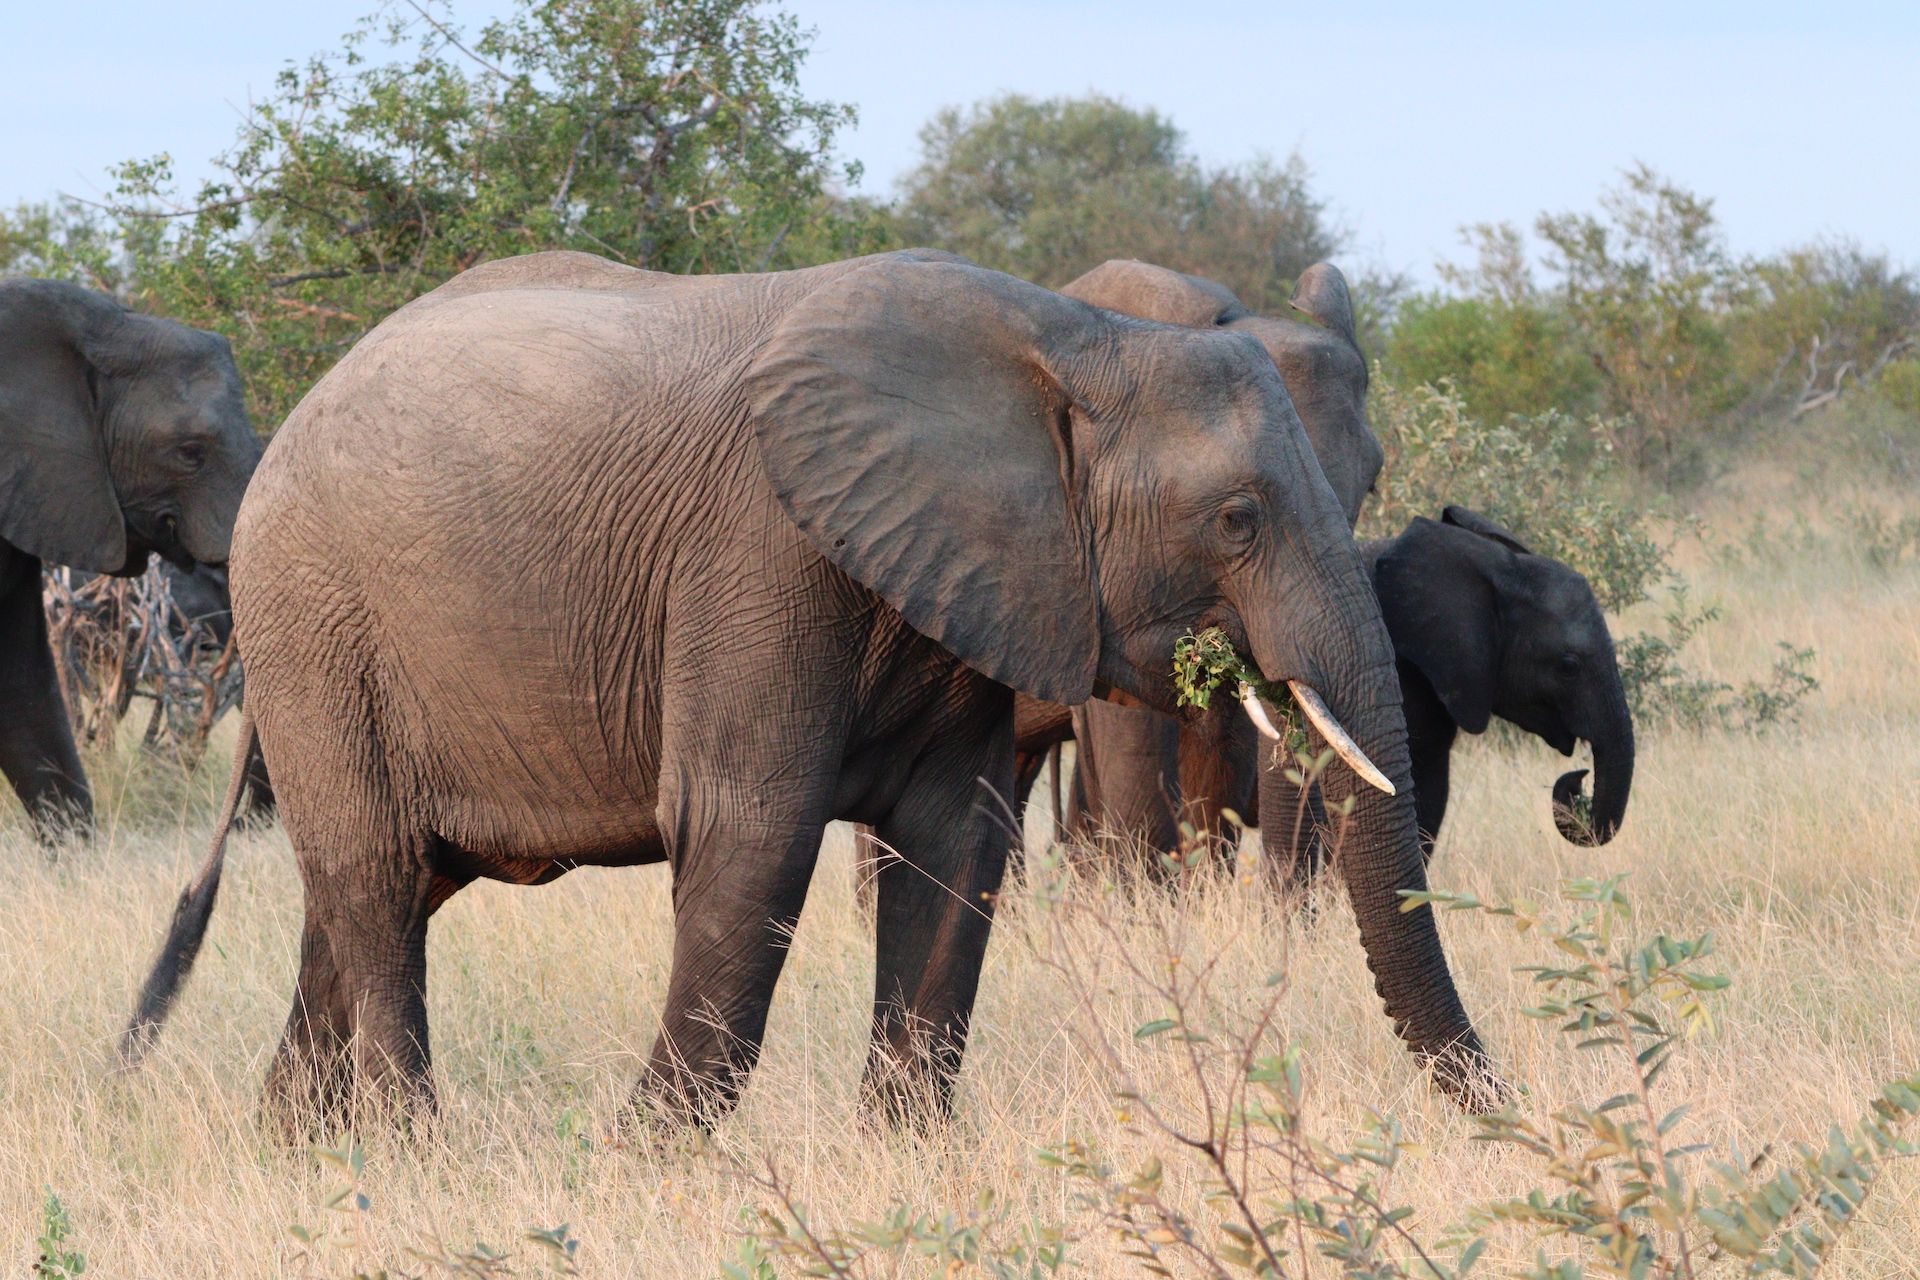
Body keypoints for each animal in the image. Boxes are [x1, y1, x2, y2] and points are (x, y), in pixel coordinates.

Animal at [125, 249, 1497, 1131]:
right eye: (1237, 517)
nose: (1503, 1102)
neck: (1066, 340)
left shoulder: (970, 574)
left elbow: (956, 843)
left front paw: (905, 1149)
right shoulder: (763, 552)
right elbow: (753, 833)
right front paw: (649, 1160)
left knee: (380, 884)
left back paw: (301, 1148)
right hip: (315, 619)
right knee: (370, 873)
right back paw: (414, 1151)